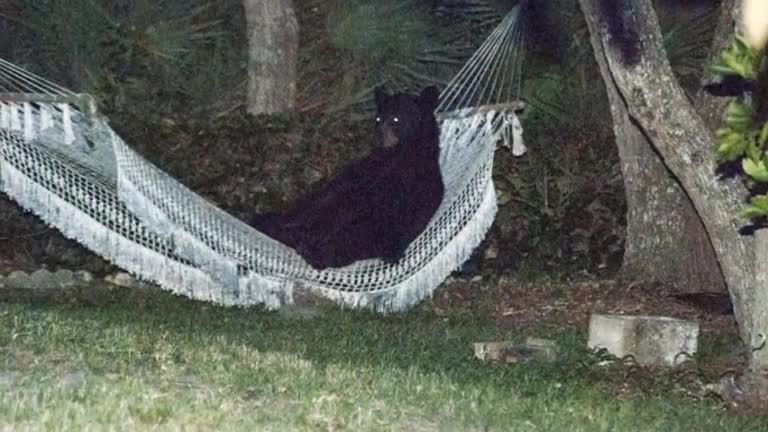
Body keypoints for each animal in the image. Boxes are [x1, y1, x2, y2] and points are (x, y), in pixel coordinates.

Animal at [250, 86, 444, 270]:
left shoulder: (409, 185)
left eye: (396, 119)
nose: (378, 138)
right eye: (378, 119)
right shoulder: (363, 174)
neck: (400, 154)